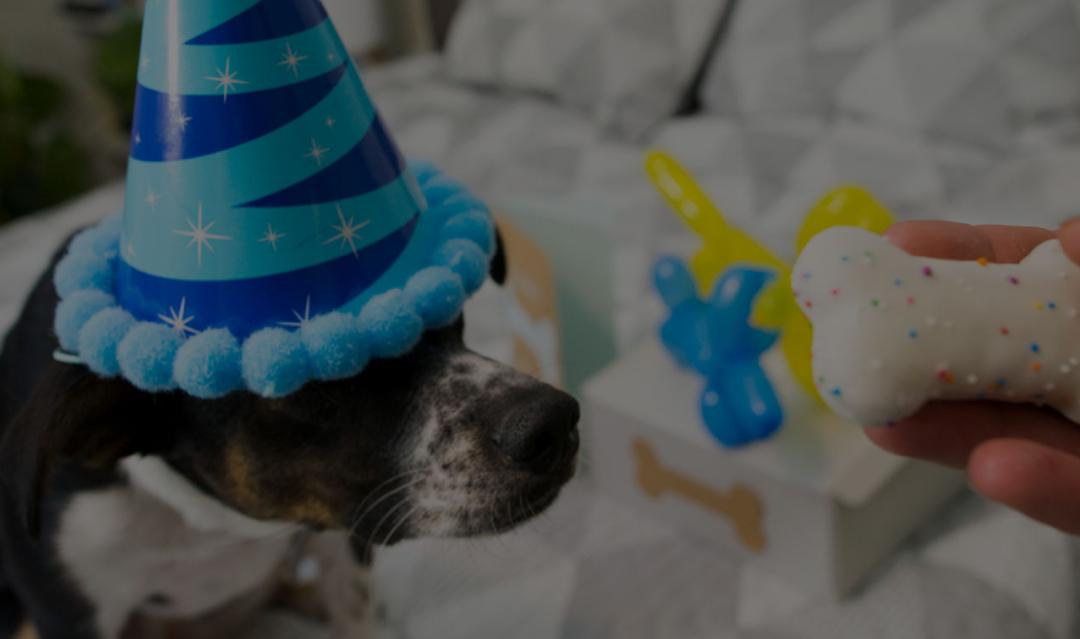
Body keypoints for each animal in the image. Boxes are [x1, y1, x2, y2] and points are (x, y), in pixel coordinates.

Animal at [0, 230, 583, 638]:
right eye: (315, 379)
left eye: (450, 315)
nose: (553, 422)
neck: (204, 520)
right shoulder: (68, 611)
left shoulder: (342, 536)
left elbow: (353, 610)